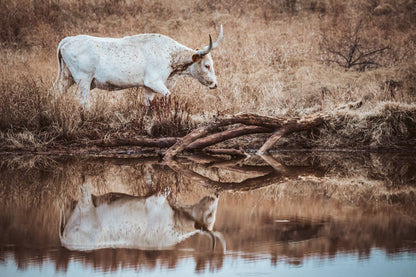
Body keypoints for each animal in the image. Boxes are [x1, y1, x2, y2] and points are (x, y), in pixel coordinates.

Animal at [53, 25, 223, 108]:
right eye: (207, 65)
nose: (215, 84)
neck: (169, 54)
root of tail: (68, 40)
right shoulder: (154, 82)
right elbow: (168, 96)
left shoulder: (148, 87)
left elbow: (149, 104)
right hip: (84, 80)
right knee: (84, 102)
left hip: (66, 78)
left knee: (54, 93)